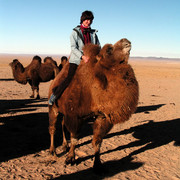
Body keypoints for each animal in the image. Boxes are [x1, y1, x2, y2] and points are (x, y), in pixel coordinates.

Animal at [48, 38, 139, 173]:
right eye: (109, 49)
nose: (126, 42)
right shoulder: (75, 116)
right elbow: (74, 138)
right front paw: (70, 158)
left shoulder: (102, 117)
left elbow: (97, 141)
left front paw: (98, 165)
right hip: (53, 107)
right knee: (53, 128)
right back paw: (52, 151)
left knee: (63, 124)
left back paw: (64, 145)